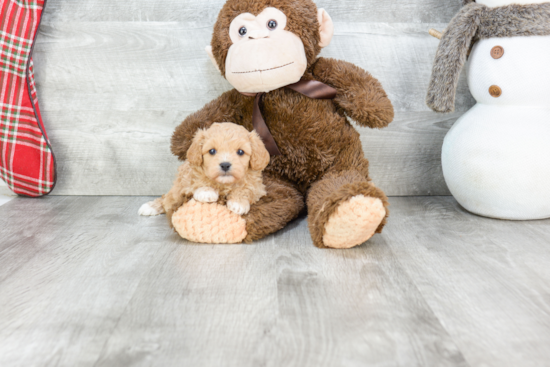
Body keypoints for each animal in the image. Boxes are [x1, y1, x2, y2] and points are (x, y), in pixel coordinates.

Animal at [140, 123, 272, 224]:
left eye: (240, 152)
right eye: (212, 151)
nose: (225, 165)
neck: (223, 184)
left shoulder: (257, 186)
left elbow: (247, 189)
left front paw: (238, 202)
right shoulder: (188, 176)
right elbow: (198, 179)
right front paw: (206, 191)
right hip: (177, 187)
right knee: (168, 198)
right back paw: (152, 206)